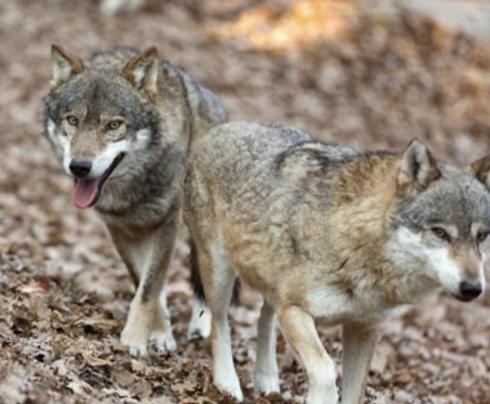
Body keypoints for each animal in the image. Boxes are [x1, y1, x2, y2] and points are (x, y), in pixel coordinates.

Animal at [42, 45, 228, 356]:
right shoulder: (119, 229)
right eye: (73, 120)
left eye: (114, 125)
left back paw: (201, 327)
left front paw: (135, 340)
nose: (79, 167)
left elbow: (150, 287)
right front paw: (159, 333)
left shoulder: (167, 223)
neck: (133, 189)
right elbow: (145, 282)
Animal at [184, 121, 490, 402]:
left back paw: (267, 382)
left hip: (272, 286)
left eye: (482, 236)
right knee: (220, 326)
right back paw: (227, 385)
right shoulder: (295, 310)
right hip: (220, 278)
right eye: (440, 232)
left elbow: (353, 393)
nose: (473, 288)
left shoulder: (363, 328)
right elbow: (325, 370)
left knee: (264, 318)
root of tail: (224, 125)